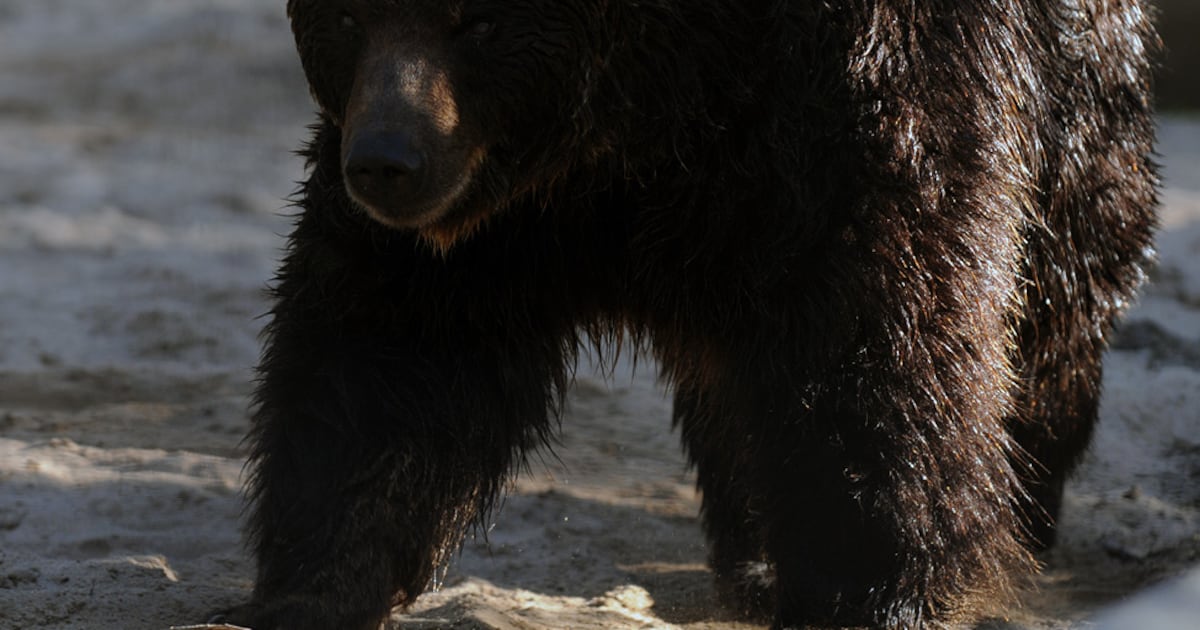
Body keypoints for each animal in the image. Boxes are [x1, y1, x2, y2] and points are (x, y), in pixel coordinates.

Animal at [222, 1, 1158, 628]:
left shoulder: (850, 109)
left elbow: (881, 338)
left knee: (1058, 301)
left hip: (1080, 104)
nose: (386, 162)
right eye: (348, 16)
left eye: (476, 21)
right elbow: (389, 361)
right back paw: (753, 555)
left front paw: (873, 584)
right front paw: (315, 581)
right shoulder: (501, 219)